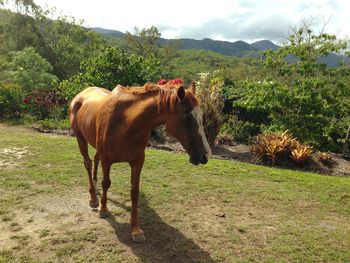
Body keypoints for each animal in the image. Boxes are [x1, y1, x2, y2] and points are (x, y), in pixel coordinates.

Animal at [68, 82, 211, 243]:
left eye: (201, 116)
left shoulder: (137, 161)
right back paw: (93, 198)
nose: (204, 155)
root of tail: (81, 95)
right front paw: (103, 209)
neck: (126, 123)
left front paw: (136, 229)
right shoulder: (107, 159)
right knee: (88, 163)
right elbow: (106, 183)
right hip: (80, 138)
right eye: (188, 118)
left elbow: (134, 192)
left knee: (94, 160)